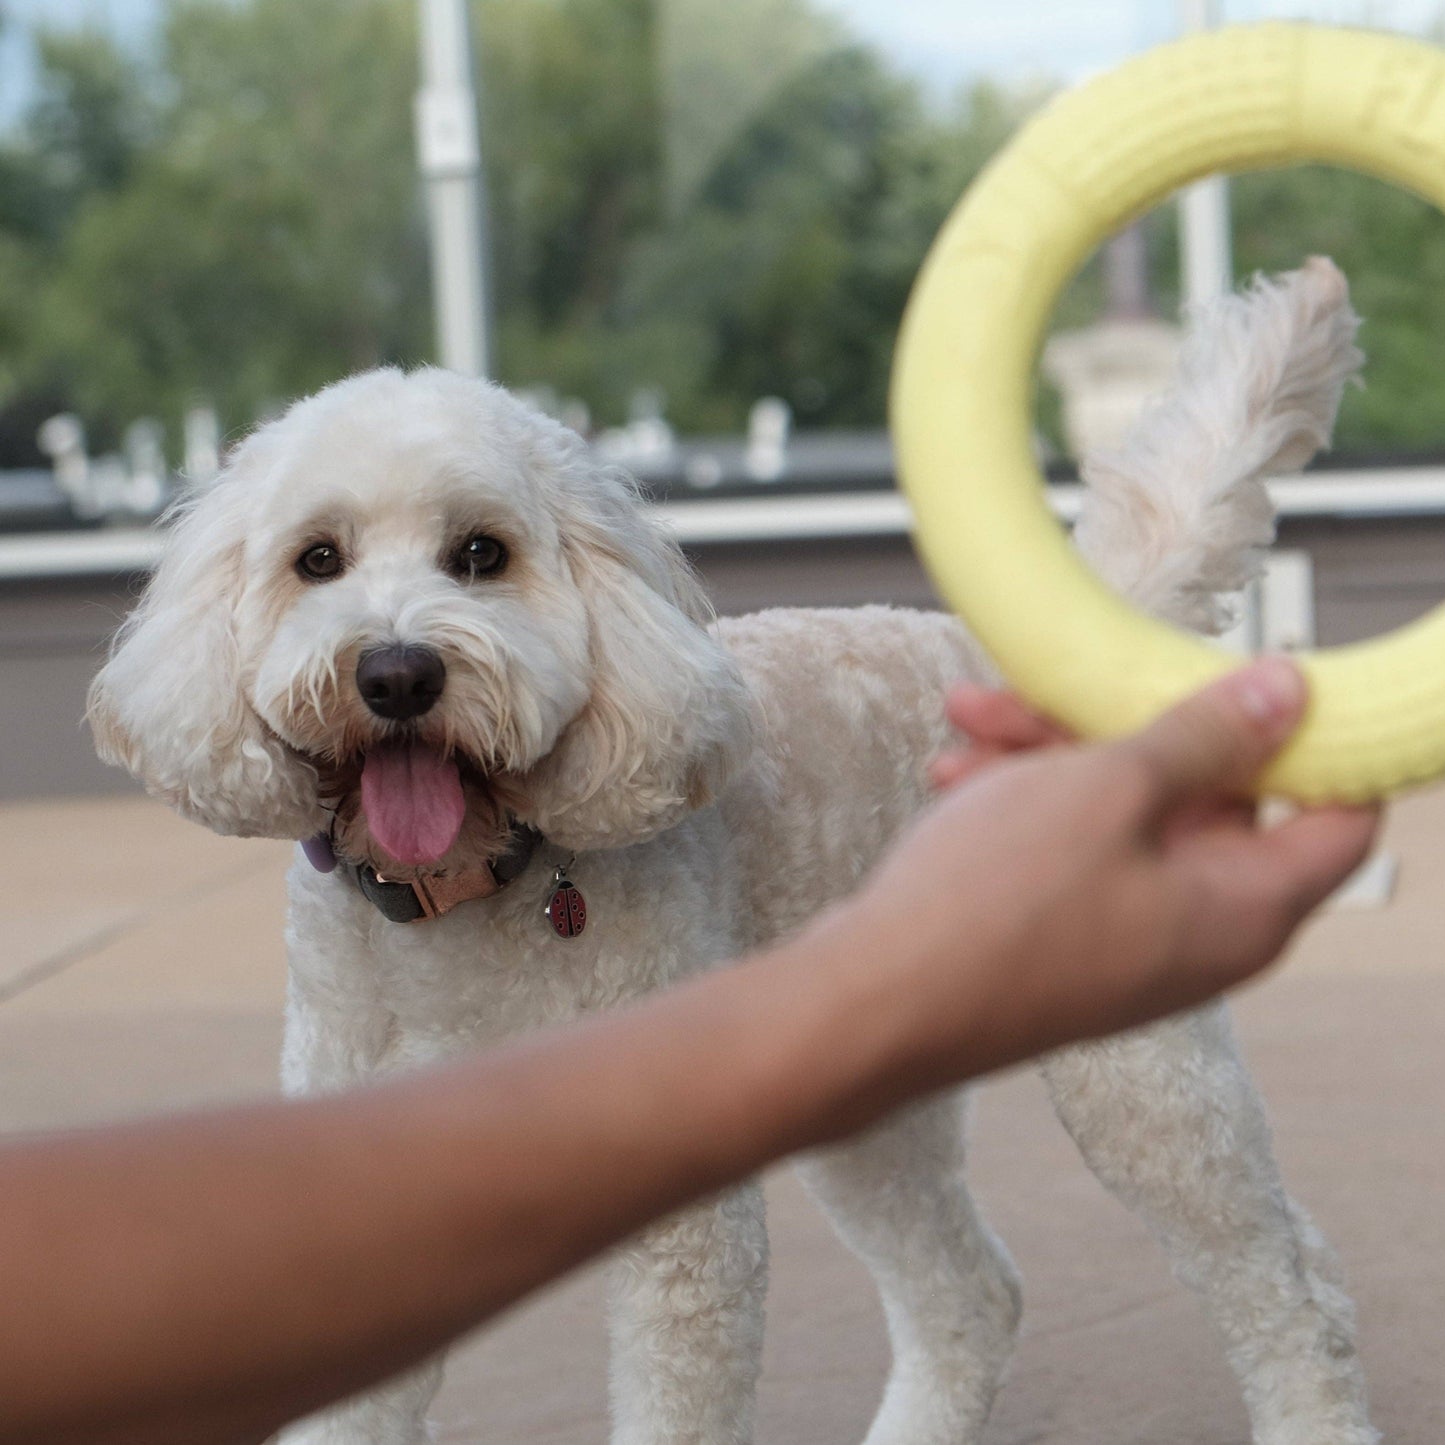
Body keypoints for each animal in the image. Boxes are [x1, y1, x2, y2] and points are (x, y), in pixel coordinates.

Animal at [87, 260, 1375, 1445]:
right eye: (317, 558)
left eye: (481, 553)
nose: (398, 672)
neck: (465, 895)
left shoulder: (682, 1243)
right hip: (866, 1098)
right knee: (971, 1292)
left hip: (1143, 1081)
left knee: (1287, 1290)